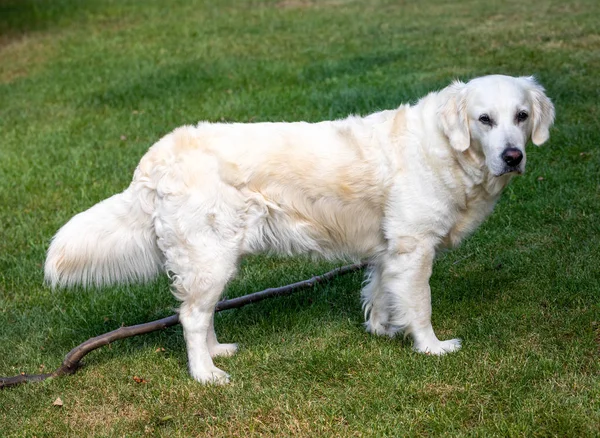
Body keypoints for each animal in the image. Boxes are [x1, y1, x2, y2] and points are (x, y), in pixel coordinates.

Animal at [45, 74, 552, 384]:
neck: (448, 149)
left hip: (213, 257)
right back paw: (206, 374)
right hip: (212, 254)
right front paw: (431, 347)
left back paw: (218, 352)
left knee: (199, 312)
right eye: (484, 120)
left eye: (521, 116)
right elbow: (421, 305)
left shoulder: (388, 250)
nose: (513, 156)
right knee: (190, 316)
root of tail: (155, 156)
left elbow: (381, 291)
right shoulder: (414, 247)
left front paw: (384, 330)